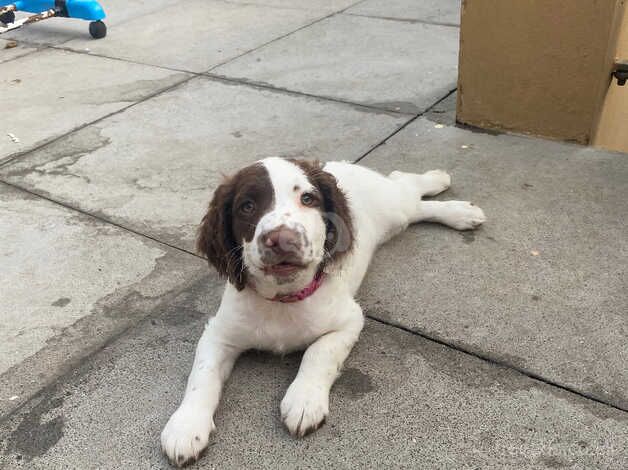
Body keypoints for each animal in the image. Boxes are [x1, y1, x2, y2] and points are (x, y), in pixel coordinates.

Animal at [162, 158, 486, 466]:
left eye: (307, 198)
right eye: (247, 206)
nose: (282, 240)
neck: (283, 299)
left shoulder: (349, 321)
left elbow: (319, 353)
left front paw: (304, 400)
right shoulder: (219, 333)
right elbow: (202, 376)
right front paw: (186, 426)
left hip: (395, 209)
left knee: (409, 190)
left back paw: (450, 197)